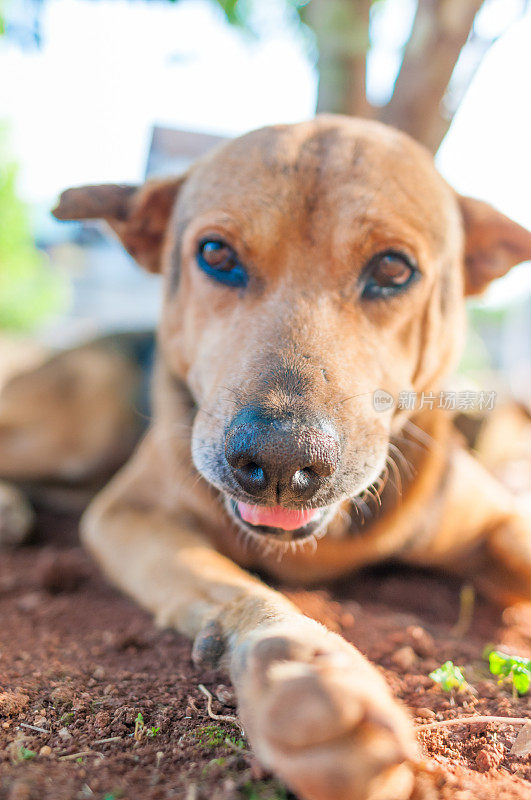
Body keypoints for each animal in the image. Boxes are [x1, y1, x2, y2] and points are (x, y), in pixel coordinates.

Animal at [1, 117, 531, 800]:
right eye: (216, 255)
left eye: (393, 268)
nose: (281, 462)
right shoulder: (128, 513)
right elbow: (240, 588)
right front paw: (308, 673)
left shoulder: (496, 518)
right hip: (76, 425)